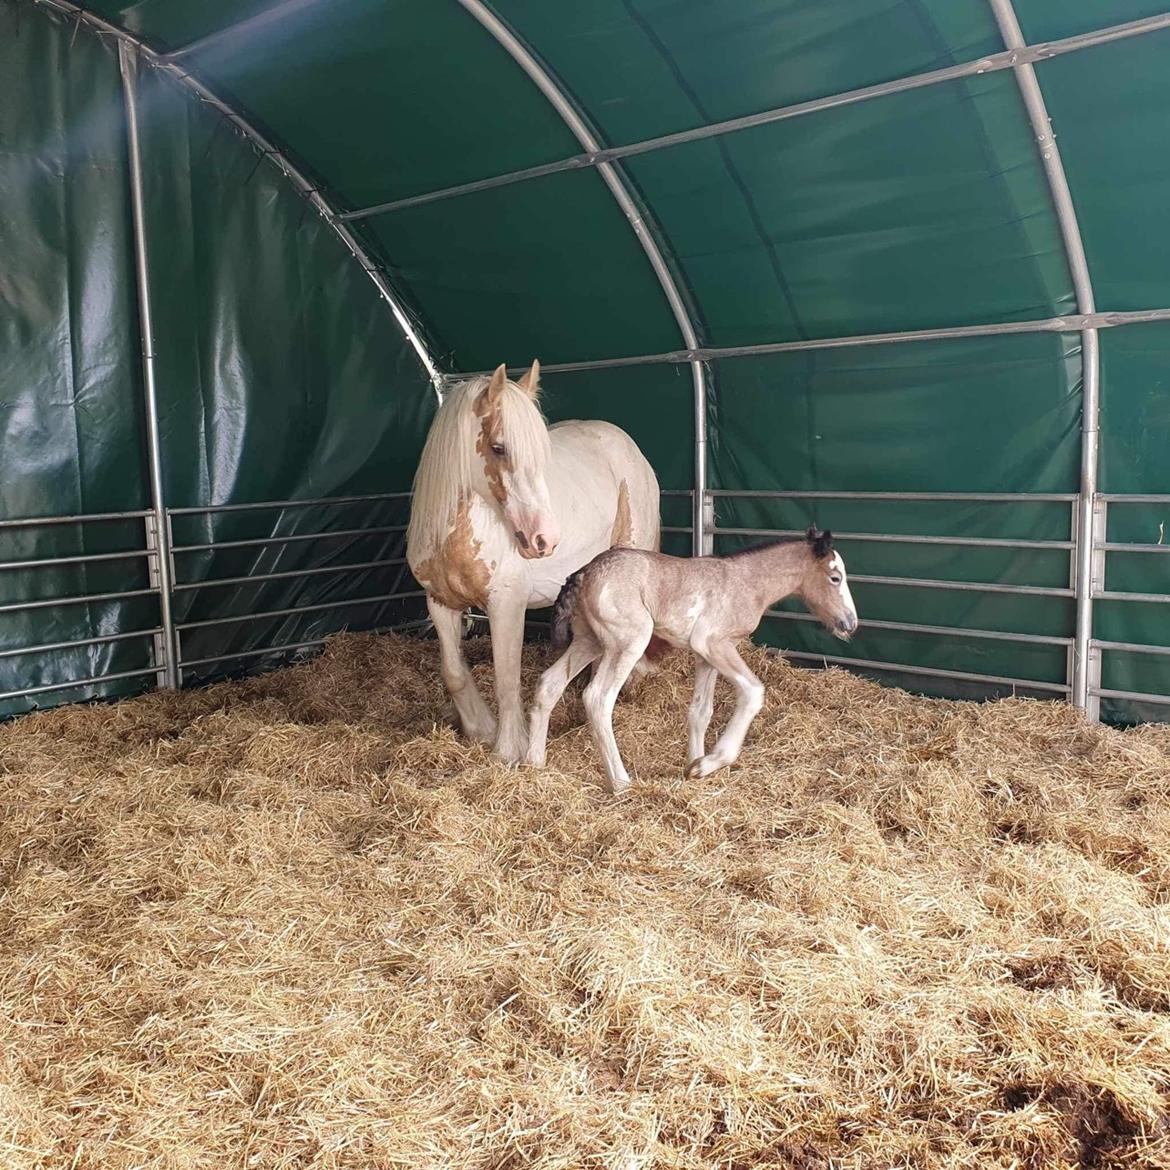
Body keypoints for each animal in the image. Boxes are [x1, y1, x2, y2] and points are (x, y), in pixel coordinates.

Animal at [404, 360, 659, 758]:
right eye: (498, 448)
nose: (544, 539)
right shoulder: (440, 603)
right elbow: (454, 672)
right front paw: (480, 729)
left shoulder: (506, 604)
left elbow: (506, 678)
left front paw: (508, 749)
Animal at [531, 531, 861, 795]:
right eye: (835, 578)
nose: (850, 624)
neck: (747, 582)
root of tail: (584, 572)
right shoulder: (714, 643)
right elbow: (753, 692)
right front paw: (712, 762)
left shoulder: (705, 655)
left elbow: (701, 712)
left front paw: (694, 765)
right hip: (627, 642)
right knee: (598, 698)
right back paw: (621, 782)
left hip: (589, 641)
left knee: (550, 683)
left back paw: (534, 762)